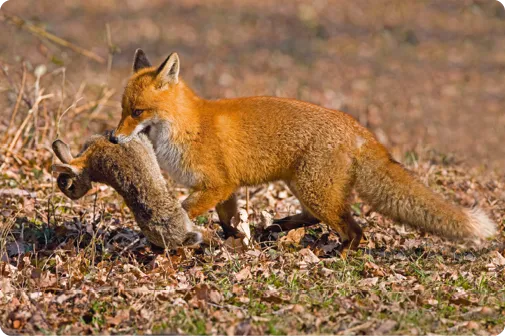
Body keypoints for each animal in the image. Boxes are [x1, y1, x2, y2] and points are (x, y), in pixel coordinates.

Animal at [111, 48, 496, 251]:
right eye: (122, 110)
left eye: (138, 112)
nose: (113, 139)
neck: (187, 127)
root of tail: (358, 127)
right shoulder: (225, 189)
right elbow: (228, 222)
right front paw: (234, 243)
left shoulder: (217, 184)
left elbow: (182, 209)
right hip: (306, 186)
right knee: (320, 216)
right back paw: (279, 228)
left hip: (313, 189)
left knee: (354, 230)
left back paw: (339, 255)